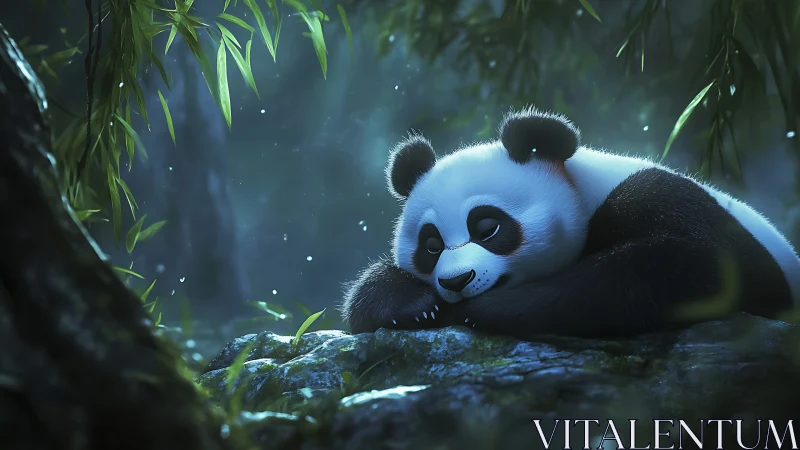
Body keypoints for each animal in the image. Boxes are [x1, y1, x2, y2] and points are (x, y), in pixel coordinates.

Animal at [339, 106, 800, 340]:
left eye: (487, 228)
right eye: (431, 246)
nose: (455, 281)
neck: (584, 191)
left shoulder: (661, 199)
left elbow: (697, 264)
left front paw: (485, 310)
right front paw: (411, 305)